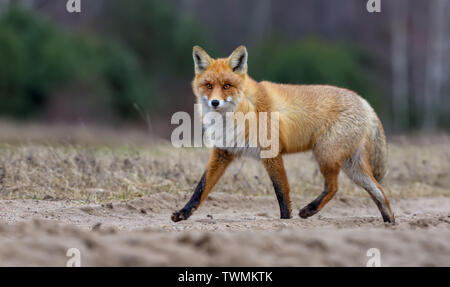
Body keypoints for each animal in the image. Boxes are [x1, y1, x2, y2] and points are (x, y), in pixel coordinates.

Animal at [171, 46, 394, 224]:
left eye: (227, 86)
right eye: (208, 85)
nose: (214, 102)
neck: (240, 113)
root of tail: (364, 101)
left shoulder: (271, 153)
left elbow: (282, 192)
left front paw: (285, 220)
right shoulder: (223, 153)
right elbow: (200, 189)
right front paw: (183, 213)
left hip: (326, 155)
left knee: (334, 187)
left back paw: (309, 210)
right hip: (351, 166)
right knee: (379, 192)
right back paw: (389, 221)